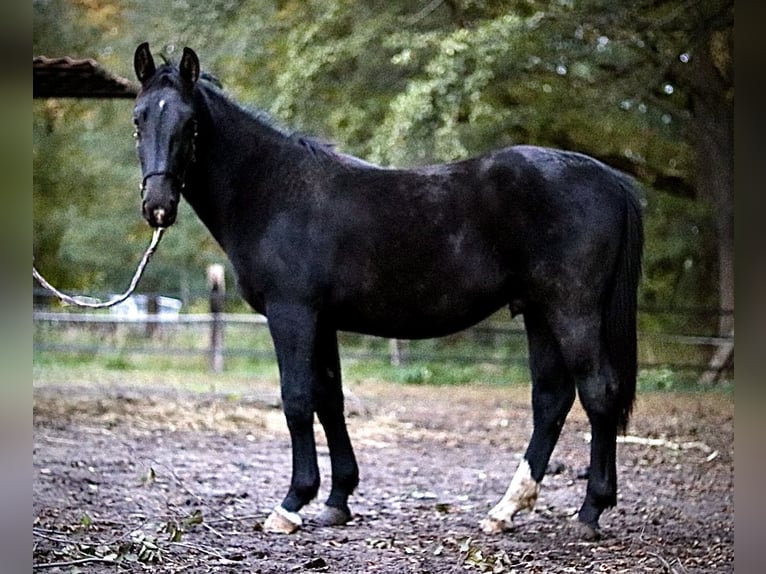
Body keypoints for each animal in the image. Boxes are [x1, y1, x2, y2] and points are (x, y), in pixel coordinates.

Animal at [131, 42, 643, 539]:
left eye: (191, 123)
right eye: (138, 118)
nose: (158, 207)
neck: (275, 191)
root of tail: (610, 180)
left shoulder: (292, 313)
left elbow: (296, 399)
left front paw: (291, 505)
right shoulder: (322, 320)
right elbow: (329, 399)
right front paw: (337, 501)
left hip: (571, 310)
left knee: (597, 392)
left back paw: (590, 512)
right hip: (539, 312)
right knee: (551, 400)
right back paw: (505, 510)